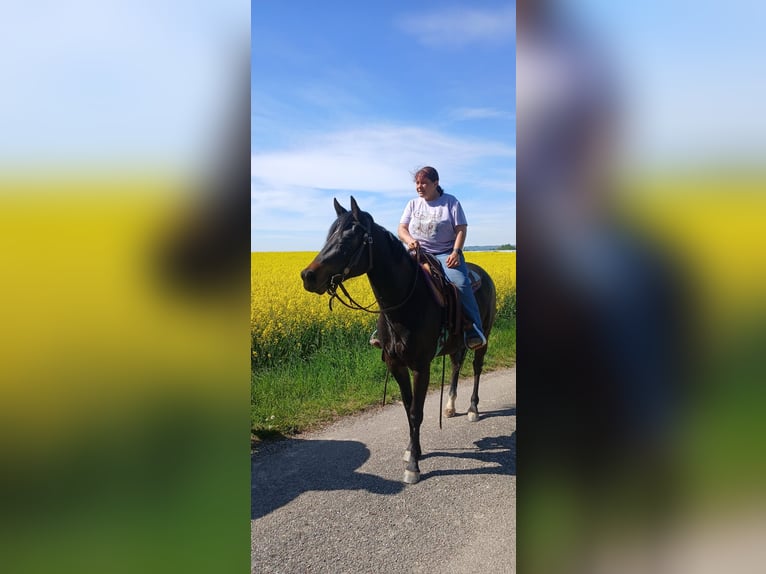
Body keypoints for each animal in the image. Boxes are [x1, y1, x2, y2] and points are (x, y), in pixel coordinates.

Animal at [300, 197, 497, 484]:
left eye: (349, 239)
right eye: (330, 234)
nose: (308, 276)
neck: (405, 301)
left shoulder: (420, 367)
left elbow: (416, 411)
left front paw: (413, 465)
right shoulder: (395, 365)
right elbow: (407, 407)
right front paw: (412, 449)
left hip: (484, 337)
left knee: (477, 367)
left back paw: (472, 409)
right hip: (455, 345)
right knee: (456, 365)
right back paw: (450, 407)